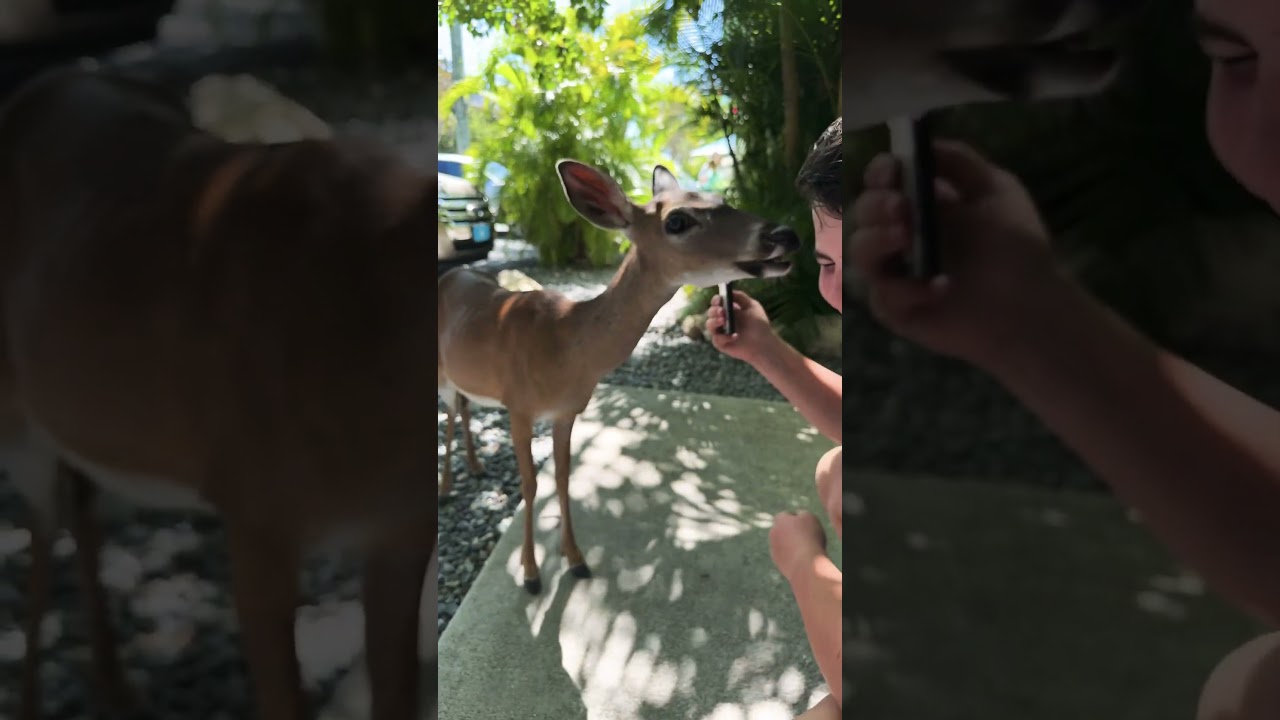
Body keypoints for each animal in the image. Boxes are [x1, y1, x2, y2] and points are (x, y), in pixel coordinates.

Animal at [1, 67, 436, 720]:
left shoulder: (400, 529)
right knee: (41, 525)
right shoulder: (256, 510)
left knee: (78, 507)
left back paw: (116, 687)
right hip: (14, 414)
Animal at [437, 160, 800, 594]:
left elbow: (562, 478)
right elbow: (530, 485)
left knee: (463, 405)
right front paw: (530, 573)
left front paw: (576, 560)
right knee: (450, 412)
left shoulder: (566, 412)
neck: (564, 345)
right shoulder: (519, 407)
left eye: (721, 198)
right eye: (677, 220)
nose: (786, 234)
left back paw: (475, 467)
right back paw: (445, 487)